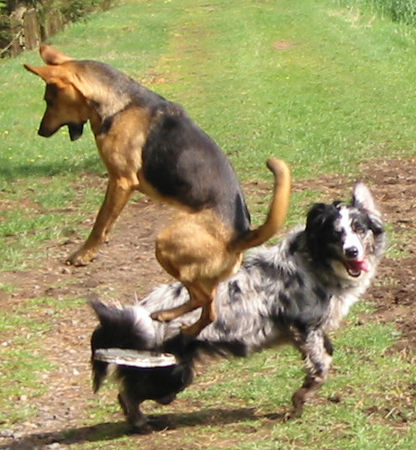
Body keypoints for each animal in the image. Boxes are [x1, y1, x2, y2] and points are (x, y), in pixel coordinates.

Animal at [22, 44, 290, 334]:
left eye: (49, 101)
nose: (40, 131)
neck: (121, 104)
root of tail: (240, 235)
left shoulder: (121, 181)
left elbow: (100, 223)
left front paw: (83, 255)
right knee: (205, 302)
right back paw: (173, 319)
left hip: (164, 245)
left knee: (205, 301)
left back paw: (181, 325)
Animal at [92, 182, 386, 428]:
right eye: (336, 234)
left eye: (360, 229)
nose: (352, 252)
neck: (315, 261)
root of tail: (135, 316)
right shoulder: (306, 327)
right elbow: (321, 369)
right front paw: (298, 402)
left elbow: (323, 358)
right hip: (170, 377)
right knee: (126, 394)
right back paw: (140, 423)